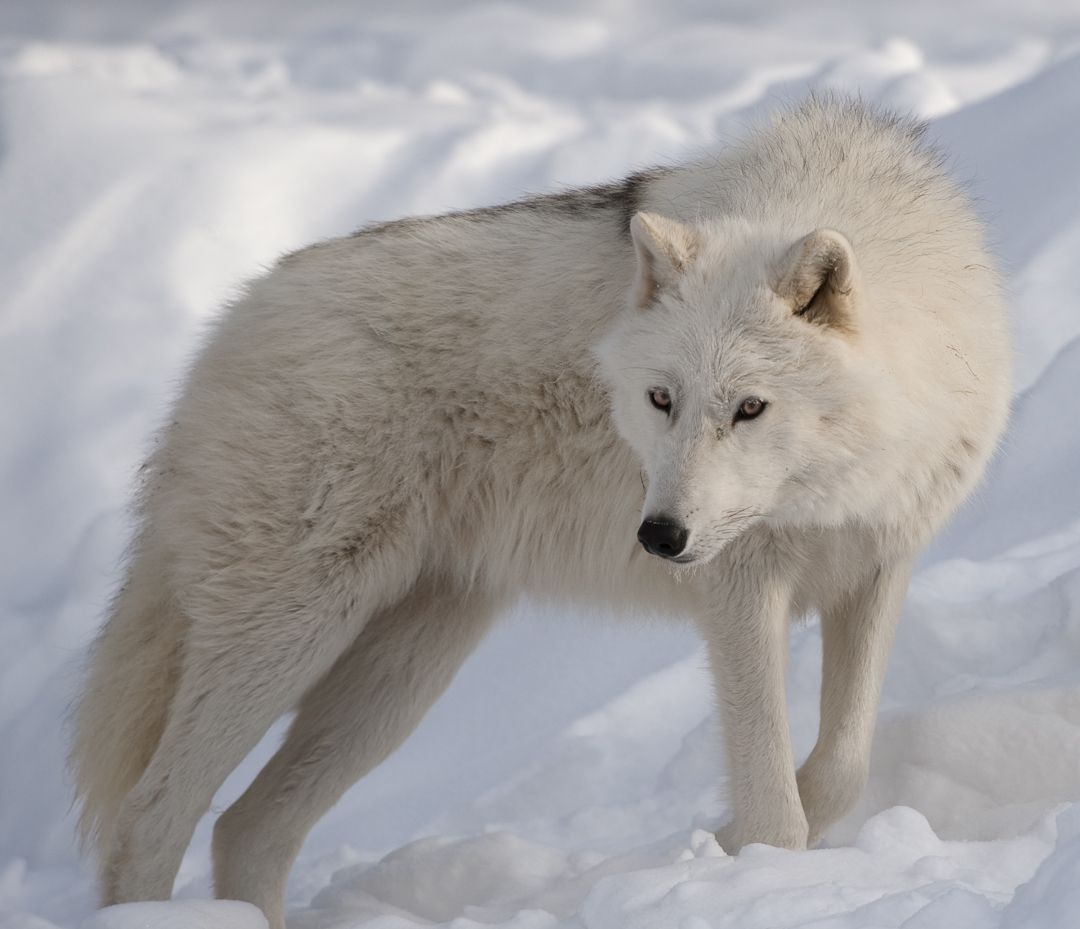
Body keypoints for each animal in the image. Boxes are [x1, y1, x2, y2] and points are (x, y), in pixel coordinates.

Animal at [70, 96, 1010, 928]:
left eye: (750, 408)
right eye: (661, 399)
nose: (659, 535)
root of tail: (229, 324)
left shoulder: (879, 567)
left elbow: (841, 768)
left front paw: (740, 842)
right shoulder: (739, 595)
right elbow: (775, 801)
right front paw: (751, 863)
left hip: (402, 672)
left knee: (247, 827)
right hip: (291, 636)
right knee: (149, 819)